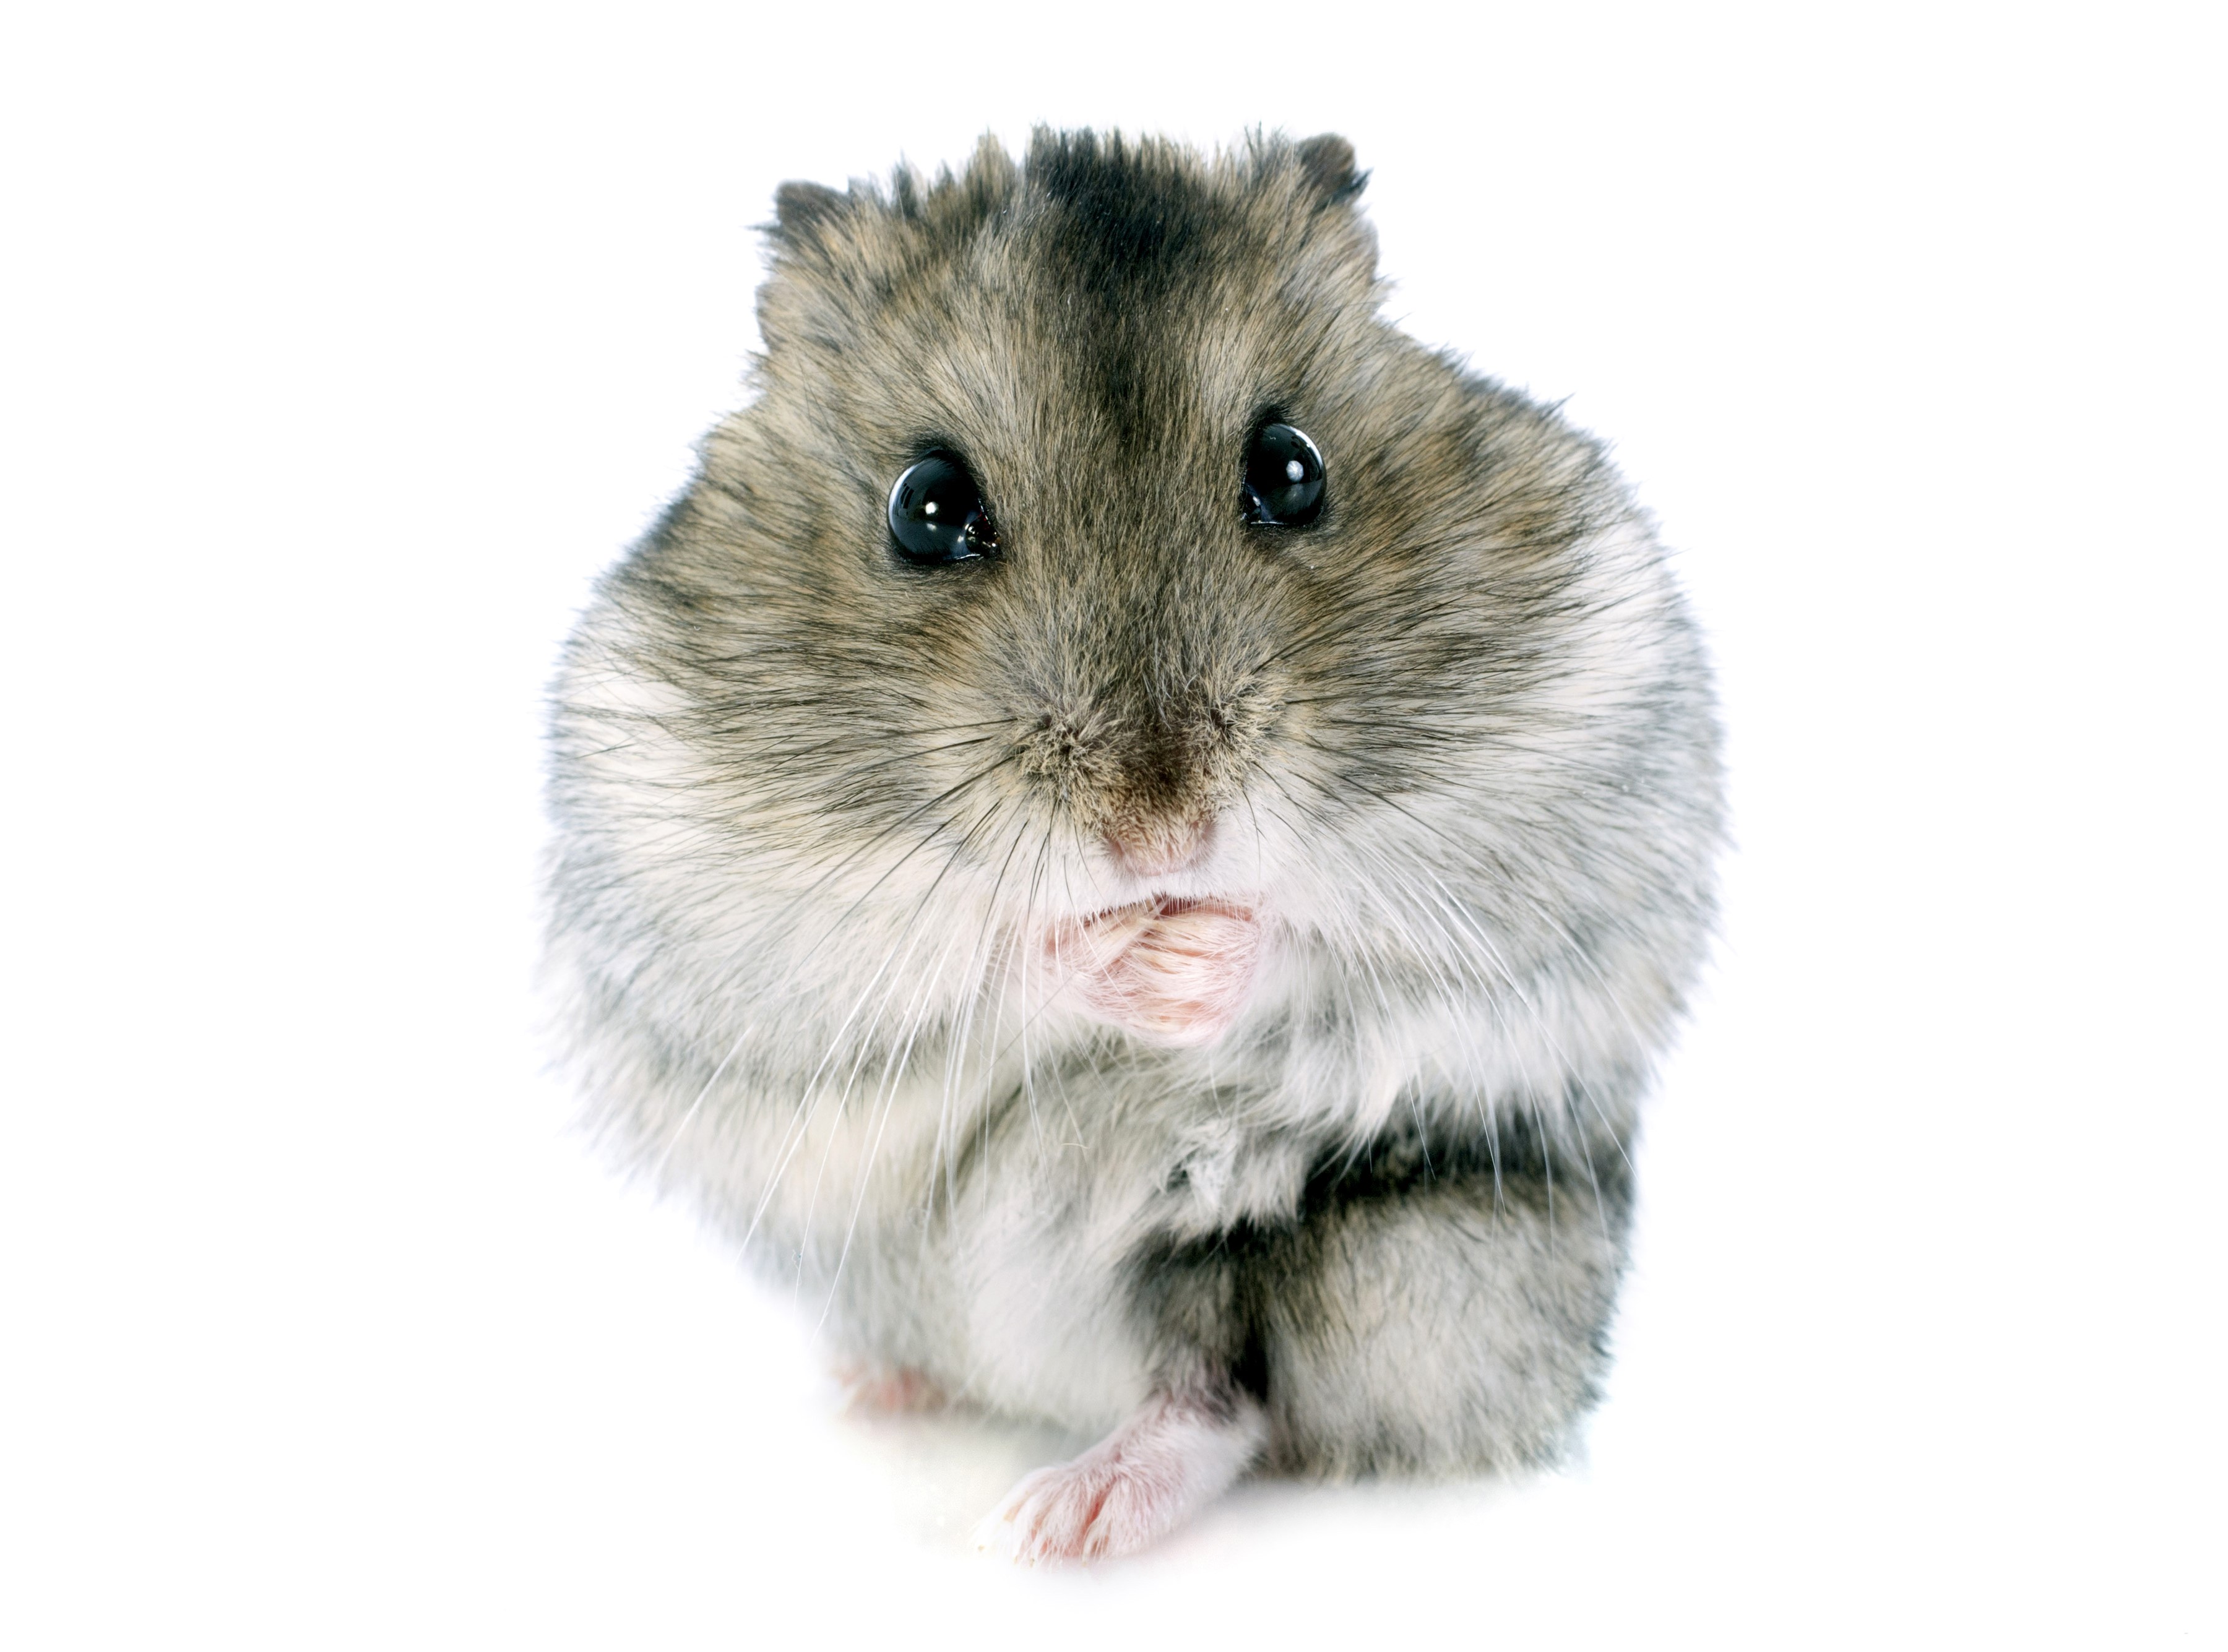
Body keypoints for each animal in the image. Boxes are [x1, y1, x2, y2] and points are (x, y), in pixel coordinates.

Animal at [542, 129, 1724, 1562]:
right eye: (925, 507)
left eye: (1291, 469)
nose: (1164, 837)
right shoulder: (724, 900)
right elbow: (977, 960)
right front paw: (1122, 959)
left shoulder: (1578, 770)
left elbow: (1328, 939)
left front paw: (1198, 958)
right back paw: (879, 1394)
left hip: (1365, 1262)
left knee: (1219, 1395)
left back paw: (1062, 1516)